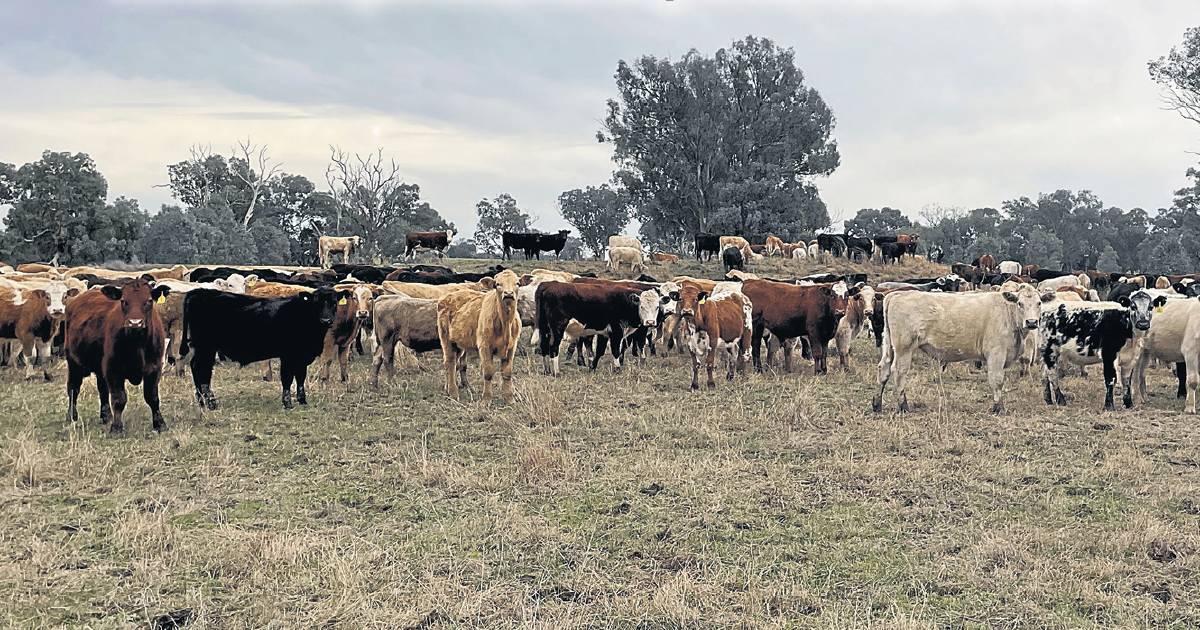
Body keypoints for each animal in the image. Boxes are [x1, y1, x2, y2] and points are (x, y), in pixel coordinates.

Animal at [64, 279, 171, 432]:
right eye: (124, 301)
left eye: (149, 300)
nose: (135, 323)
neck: (137, 344)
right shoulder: (113, 369)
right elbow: (119, 398)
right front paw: (116, 427)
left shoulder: (154, 367)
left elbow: (152, 397)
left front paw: (160, 424)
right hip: (73, 362)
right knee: (73, 389)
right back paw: (72, 416)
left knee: (102, 389)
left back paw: (106, 415)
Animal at [177, 286, 350, 410]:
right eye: (316, 303)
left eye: (334, 303)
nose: (326, 320)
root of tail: (200, 291)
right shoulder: (288, 355)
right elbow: (287, 378)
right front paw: (287, 403)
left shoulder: (301, 356)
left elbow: (301, 377)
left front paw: (303, 400)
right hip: (206, 347)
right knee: (202, 369)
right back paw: (210, 402)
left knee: (197, 368)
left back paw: (201, 401)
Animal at [434, 267, 523, 400]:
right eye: (497, 284)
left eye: (517, 283)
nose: (508, 294)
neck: (505, 324)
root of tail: (446, 297)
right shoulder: (484, 346)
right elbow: (488, 373)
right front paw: (486, 399)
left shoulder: (511, 347)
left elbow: (507, 373)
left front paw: (509, 399)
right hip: (447, 340)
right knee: (450, 362)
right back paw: (453, 392)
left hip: (459, 344)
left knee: (453, 364)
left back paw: (448, 388)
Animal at [873, 283, 1051, 412]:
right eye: (1020, 303)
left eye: (1039, 303)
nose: (1031, 322)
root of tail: (896, 294)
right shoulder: (996, 354)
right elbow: (997, 380)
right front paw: (998, 407)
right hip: (904, 348)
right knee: (899, 371)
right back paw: (903, 406)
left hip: (889, 345)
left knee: (884, 368)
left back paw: (877, 404)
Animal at [1036, 286, 1166, 410]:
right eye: (1133, 306)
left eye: (1151, 306)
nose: (1143, 323)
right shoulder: (1109, 354)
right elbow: (1111, 379)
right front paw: (1109, 406)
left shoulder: (1130, 359)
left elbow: (1126, 380)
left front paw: (1129, 404)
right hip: (1050, 350)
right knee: (1052, 374)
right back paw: (1060, 400)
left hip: (1046, 352)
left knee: (1044, 374)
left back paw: (1048, 399)